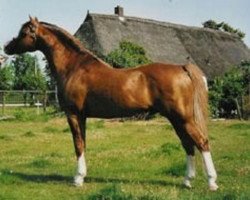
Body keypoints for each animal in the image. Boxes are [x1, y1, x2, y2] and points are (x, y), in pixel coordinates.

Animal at [4, 17, 218, 191]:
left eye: (24, 33)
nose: (6, 47)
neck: (74, 67)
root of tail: (182, 68)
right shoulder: (82, 116)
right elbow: (83, 143)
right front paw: (82, 175)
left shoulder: (73, 114)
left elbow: (78, 145)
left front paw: (77, 179)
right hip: (175, 118)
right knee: (188, 145)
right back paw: (187, 181)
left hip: (183, 118)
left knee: (201, 142)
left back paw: (211, 182)